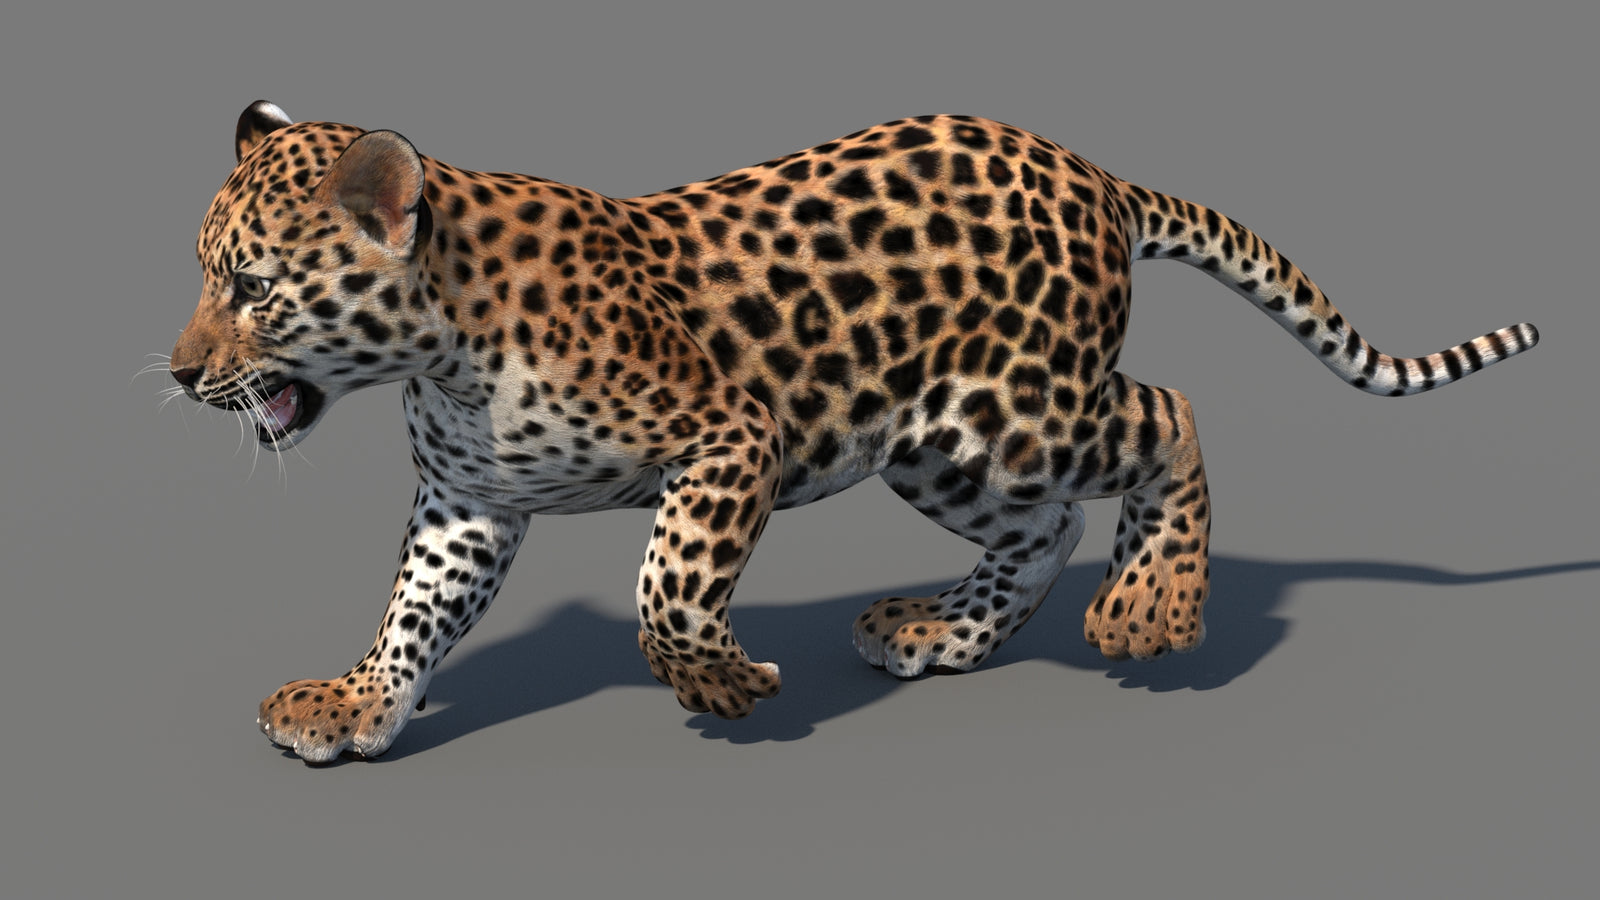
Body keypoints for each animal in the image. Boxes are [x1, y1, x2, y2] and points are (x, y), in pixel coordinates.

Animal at [170, 101, 1538, 763]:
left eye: (251, 287)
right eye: (204, 275)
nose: (181, 375)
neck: (442, 353)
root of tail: (1095, 173)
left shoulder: (731, 435)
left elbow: (666, 586)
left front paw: (723, 682)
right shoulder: (471, 503)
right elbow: (417, 608)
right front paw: (355, 703)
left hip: (1021, 410)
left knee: (1167, 417)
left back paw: (1151, 608)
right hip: (943, 444)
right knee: (1045, 528)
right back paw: (941, 631)